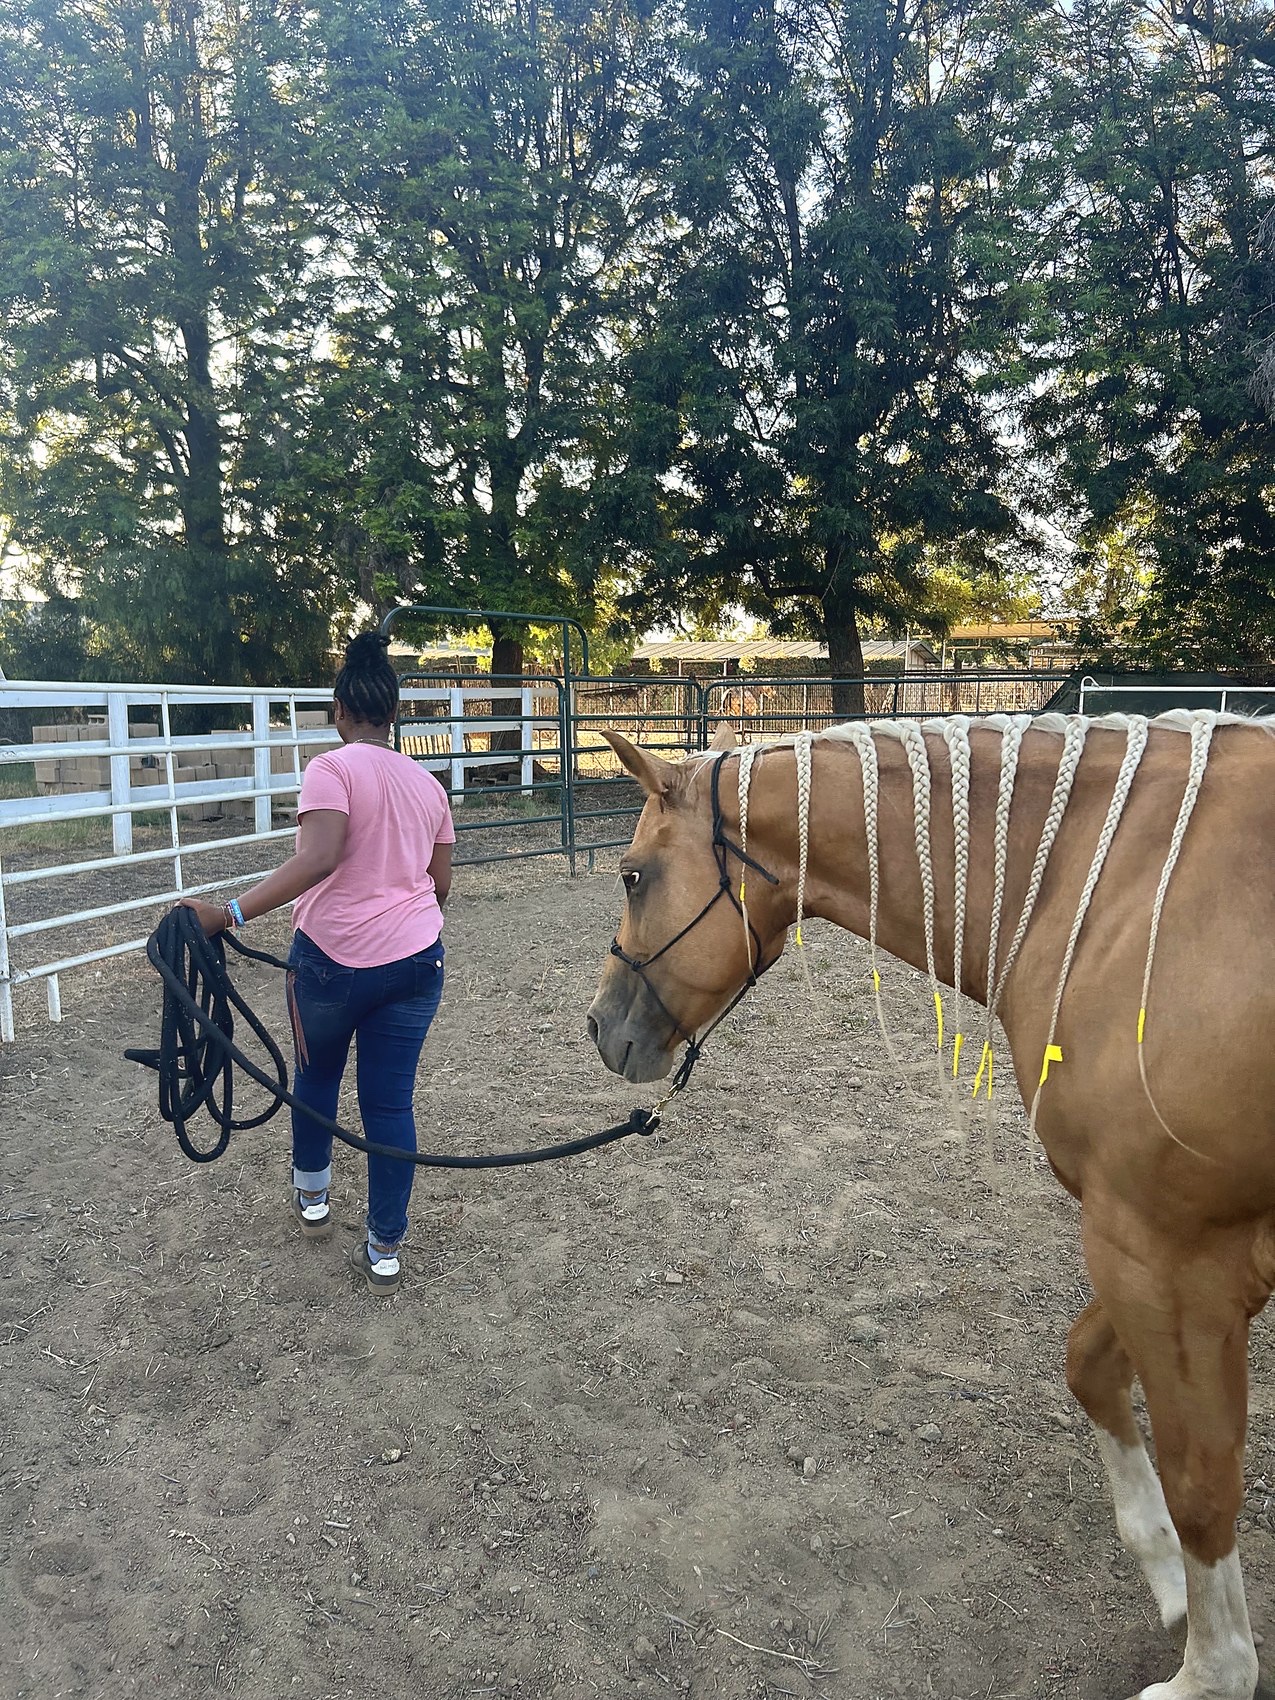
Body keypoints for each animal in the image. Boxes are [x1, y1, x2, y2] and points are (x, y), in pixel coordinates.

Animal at [587, 711, 1275, 1700]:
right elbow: (1089, 1367)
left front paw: (1209, 1673)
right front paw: (1167, 1580)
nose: (599, 1028)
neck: (1115, 891)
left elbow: (1202, 1480)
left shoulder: (1170, 1256)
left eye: (633, 876)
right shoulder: (1153, 1248)